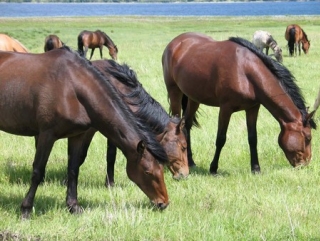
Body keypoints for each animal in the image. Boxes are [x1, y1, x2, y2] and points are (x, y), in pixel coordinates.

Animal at [0, 46, 169, 219]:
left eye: (162, 169)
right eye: (148, 172)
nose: (163, 203)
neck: (71, 87)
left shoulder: (77, 136)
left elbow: (73, 169)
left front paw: (73, 206)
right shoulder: (47, 135)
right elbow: (38, 171)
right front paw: (26, 209)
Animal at [162, 32, 318, 174]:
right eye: (308, 138)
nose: (305, 164)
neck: (245, 71)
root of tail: (174, 43)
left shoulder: (253, 108)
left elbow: (253, 138)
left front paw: (256, 168)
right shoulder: (225, 109)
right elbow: (221, 138)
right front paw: (213, 168)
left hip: (194, 97)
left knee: (187, 124)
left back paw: (191, 162)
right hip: (174, 92)